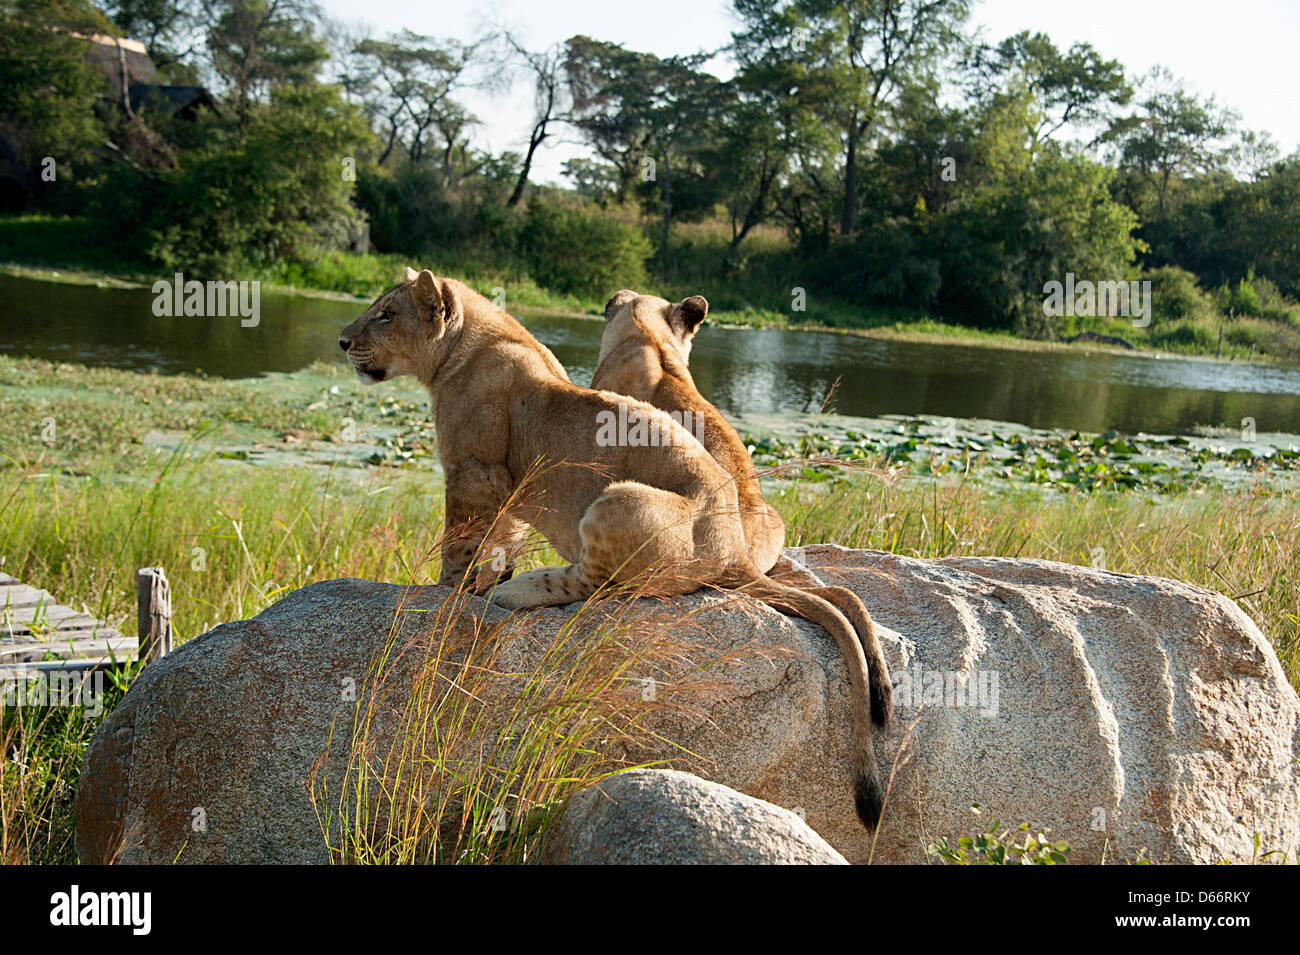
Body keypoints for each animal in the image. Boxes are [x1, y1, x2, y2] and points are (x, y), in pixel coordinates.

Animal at [338, 268, 886, 829]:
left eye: (385, 315)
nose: (341, 341)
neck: (462, 348)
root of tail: (733, 551)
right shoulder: (508, 494)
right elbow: (498, 544)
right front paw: (480, 581)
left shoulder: (475, 474)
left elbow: (461, 546)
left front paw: (445, 592)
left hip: (617, 499)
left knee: (594, 585)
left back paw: (521, 591)